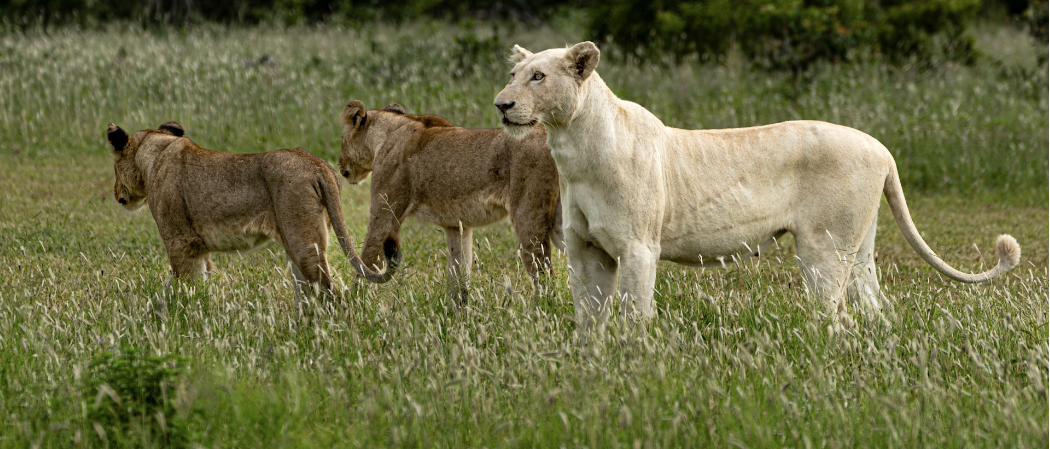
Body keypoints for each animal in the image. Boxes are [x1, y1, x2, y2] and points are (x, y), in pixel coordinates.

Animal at [106, 121, 399, 305]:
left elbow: (183, 287)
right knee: (309, 292)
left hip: (304, 244)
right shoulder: (198, 247)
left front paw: (182, 317)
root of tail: (319, 165)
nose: (116, 193)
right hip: (300, 245)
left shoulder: (180, 242)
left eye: (114, 166)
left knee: (330, 292)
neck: (155, 152)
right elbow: (195, 284)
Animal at [339, 100, 562, 300]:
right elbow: (458, 275)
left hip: (528, 215)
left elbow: (367, 261)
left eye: (342, 141)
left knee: (544, 278)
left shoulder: (384, 213)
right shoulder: (457, 224)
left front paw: (353, 307)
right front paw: (458, 313)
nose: (340, 165)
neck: (388, 133)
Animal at [493, 42, 1021, 332]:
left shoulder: (639, 247)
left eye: (538, 76)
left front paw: (635, 368)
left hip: (823, 249)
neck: (573, 148)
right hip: (859, 246)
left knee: (838, 318)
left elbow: (635, 315)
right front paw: (592, 368)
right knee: (874, 310)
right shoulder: (585, 251)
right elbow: (588, 320)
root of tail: (883, 149)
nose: (501, 104)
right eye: (512, 75)